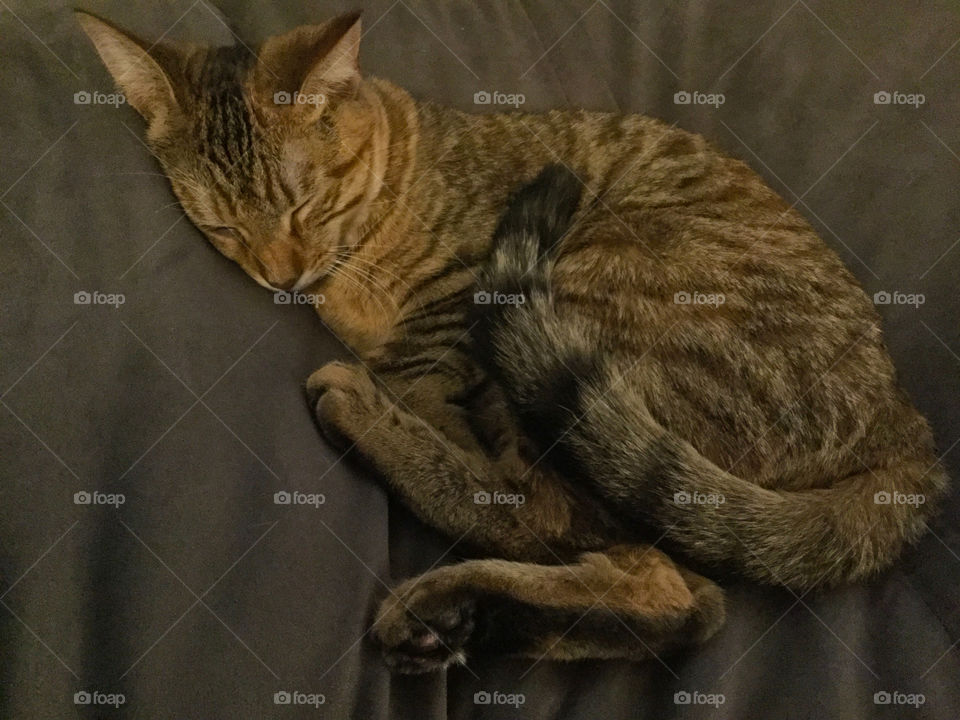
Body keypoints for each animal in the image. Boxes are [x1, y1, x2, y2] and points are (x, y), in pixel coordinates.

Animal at [79, 9, 948, 676]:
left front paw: (398, 407)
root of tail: (906, 431)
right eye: (221, 227)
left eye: (305, 206)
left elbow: (431, 396)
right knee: (678, 597)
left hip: (583, 309)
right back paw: (465, 619)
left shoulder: (455, 317)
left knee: (551, 518)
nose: (279, 272)